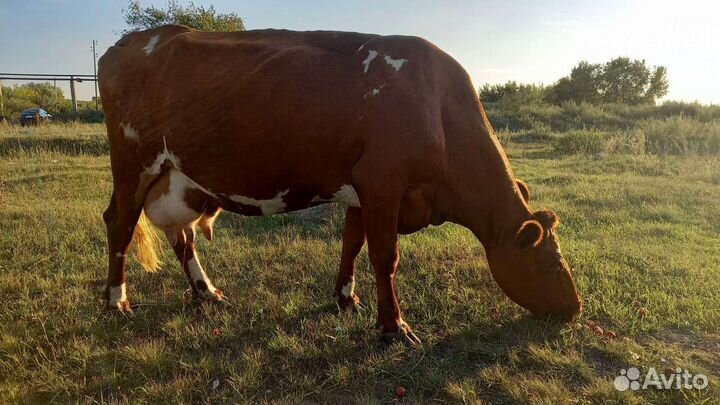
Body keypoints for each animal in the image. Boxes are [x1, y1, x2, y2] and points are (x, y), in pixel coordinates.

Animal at [99, 25, 581, 345]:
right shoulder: (383, 183)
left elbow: (352, 244)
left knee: (182, 238)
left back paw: (208, 294)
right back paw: (116, 303)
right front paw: (394, 327)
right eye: (552, 263)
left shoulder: (359, 190)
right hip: (133, 164)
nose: (576, 309)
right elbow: (385, 258)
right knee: (119, 225)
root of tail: (132, 41)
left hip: (179, 180)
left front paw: (346, 299)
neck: (439, 111)